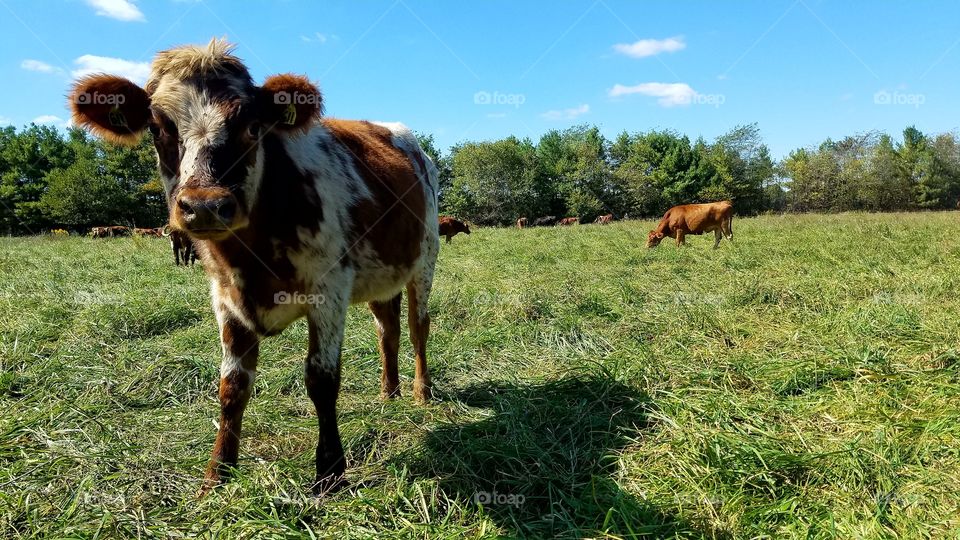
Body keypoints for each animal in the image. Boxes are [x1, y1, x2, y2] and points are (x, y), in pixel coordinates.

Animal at [69, 38, 440, 496]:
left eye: (251, 126)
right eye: (157, 128)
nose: (204, 205)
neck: (250, 253)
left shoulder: (329, 290)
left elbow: (321, 379)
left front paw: (330, 472)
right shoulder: (225, 297)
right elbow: (232, 385)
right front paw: (218, 473)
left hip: (424, 260)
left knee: (417, 327)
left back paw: (421, 391)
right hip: (381, 275)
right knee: (387, 329)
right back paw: (389, 392)